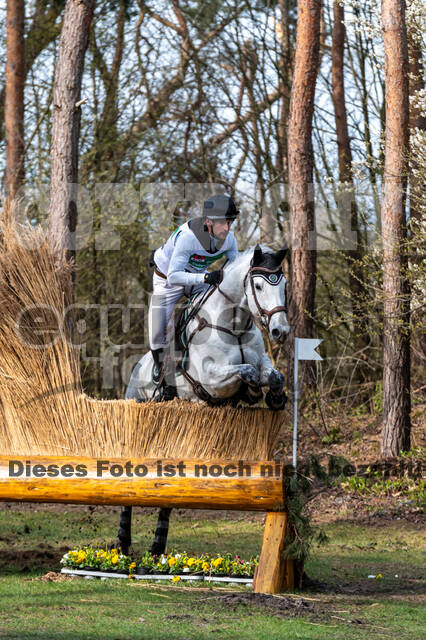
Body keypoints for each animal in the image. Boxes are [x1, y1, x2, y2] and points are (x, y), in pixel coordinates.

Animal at [115, 245, 290, 556]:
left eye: (283, 286)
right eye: (258, 286)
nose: (280, 332)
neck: (233, 327)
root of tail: (137, 369)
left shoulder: (262, 363)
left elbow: (272, 375)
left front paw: (274, 395)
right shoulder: (210, 382)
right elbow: (247, 371)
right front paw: (253, 390)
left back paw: (157, 546)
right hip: (138, 407)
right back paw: (123, 542)